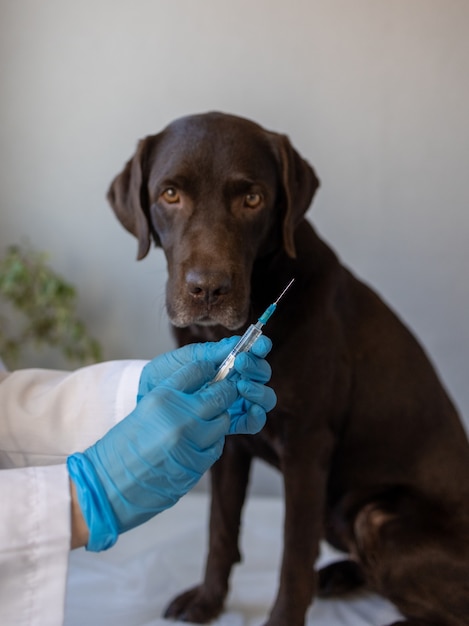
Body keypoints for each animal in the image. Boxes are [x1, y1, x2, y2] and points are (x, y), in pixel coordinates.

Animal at [106, 112, 468, 624]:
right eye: (170, 194)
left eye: (252, 199)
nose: (208, 289)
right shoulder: (229, 445)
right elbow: (220, 530)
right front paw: (208, 601)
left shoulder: (307, 445)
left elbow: (293, 555)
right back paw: (337, 576)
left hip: (375, 516)